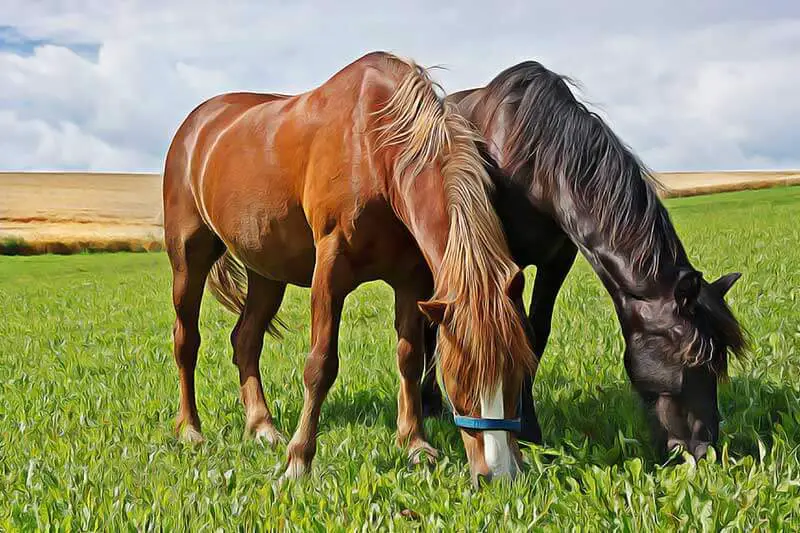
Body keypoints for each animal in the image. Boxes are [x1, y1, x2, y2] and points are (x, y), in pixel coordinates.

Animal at [161, 53, 536, 482]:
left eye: (519, 373)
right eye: (460, 377)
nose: (501, 474)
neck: (375, 146)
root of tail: (196, 125)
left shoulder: (411, 281)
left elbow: (409, 358)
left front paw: (415, 444)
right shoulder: (330, 272)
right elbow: (320, 365)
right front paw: (299, 460)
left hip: (267, 272)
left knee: (246, 340)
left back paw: (262, 427)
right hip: (189, 259)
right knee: (186, 340)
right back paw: (191, 429)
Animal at [422, 60, 748, 460]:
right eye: (693, 361)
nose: (702, 450)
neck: (535, 163)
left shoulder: (558, 260)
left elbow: (536, 335)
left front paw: (528, 428)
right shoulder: (502, 265)